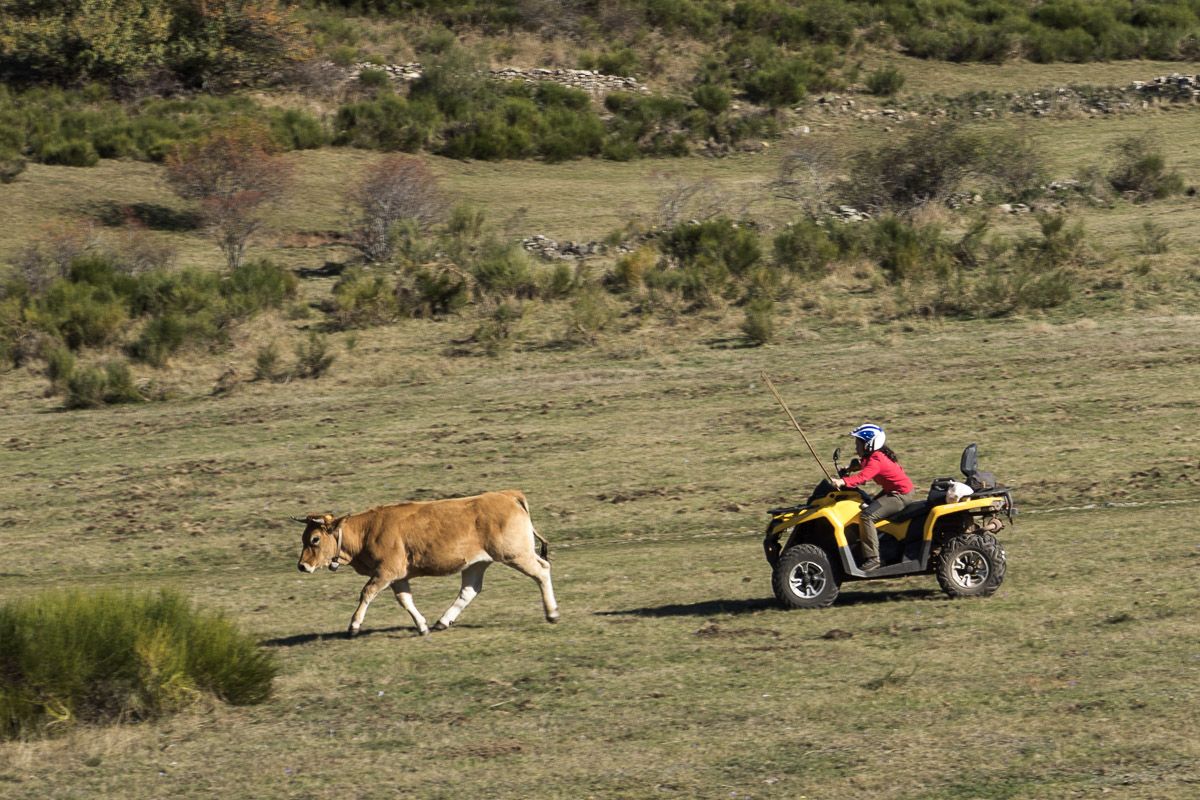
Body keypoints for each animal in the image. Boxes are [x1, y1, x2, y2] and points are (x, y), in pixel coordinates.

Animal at [295, 489, 556, 638]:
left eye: (315, 539)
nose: (302, 566)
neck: (367, 530)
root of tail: (508, 495)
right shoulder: (398, 577)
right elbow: (405, 600)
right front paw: (422, 626)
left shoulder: (386, 572)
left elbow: (367, 592)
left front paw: (354, 625)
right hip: (477, 563)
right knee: (469, 590)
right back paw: (443, 621)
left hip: (515, 554)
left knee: (542, 571)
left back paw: (552, 613)